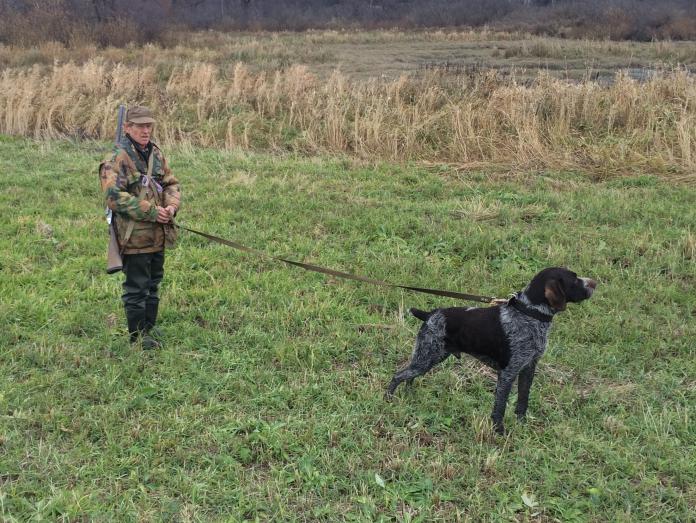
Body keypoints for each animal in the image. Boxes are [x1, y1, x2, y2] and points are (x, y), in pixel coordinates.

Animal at [386, 267, 597, 434]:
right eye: (574, 279)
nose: (595, 283)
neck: (529, 314)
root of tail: (430, 315)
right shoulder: (507, 373)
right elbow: (500, 407)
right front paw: (499, 431)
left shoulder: (528, 368)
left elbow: (523, 400)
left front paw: (521, 423)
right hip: (426, 357)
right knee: (398, 376)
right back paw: (388, 399)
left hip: (429, 357)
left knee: (409, 378)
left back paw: (409, 395)